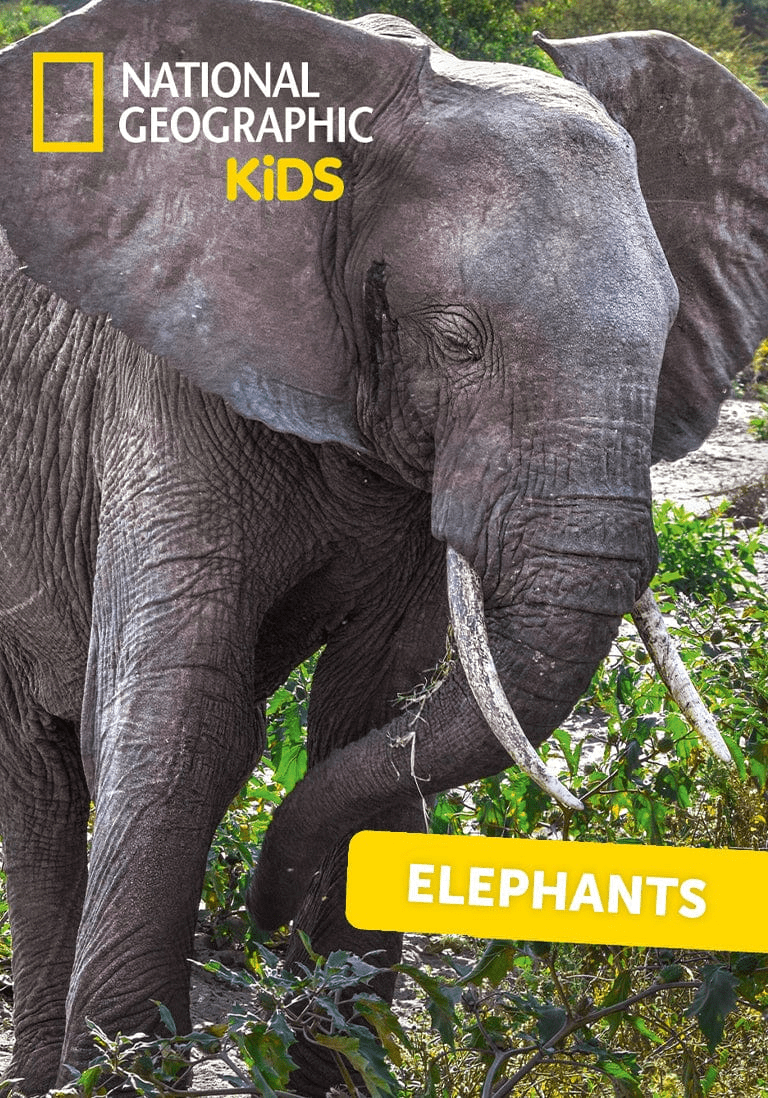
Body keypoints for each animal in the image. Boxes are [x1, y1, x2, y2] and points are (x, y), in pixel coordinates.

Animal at [0, 0, 766, 1093]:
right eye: (456, 340)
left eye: (668, 338)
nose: (265, 912)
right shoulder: (160, 387)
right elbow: (184, 723)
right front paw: (129, 1061)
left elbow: (371, 712)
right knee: (43, 774)